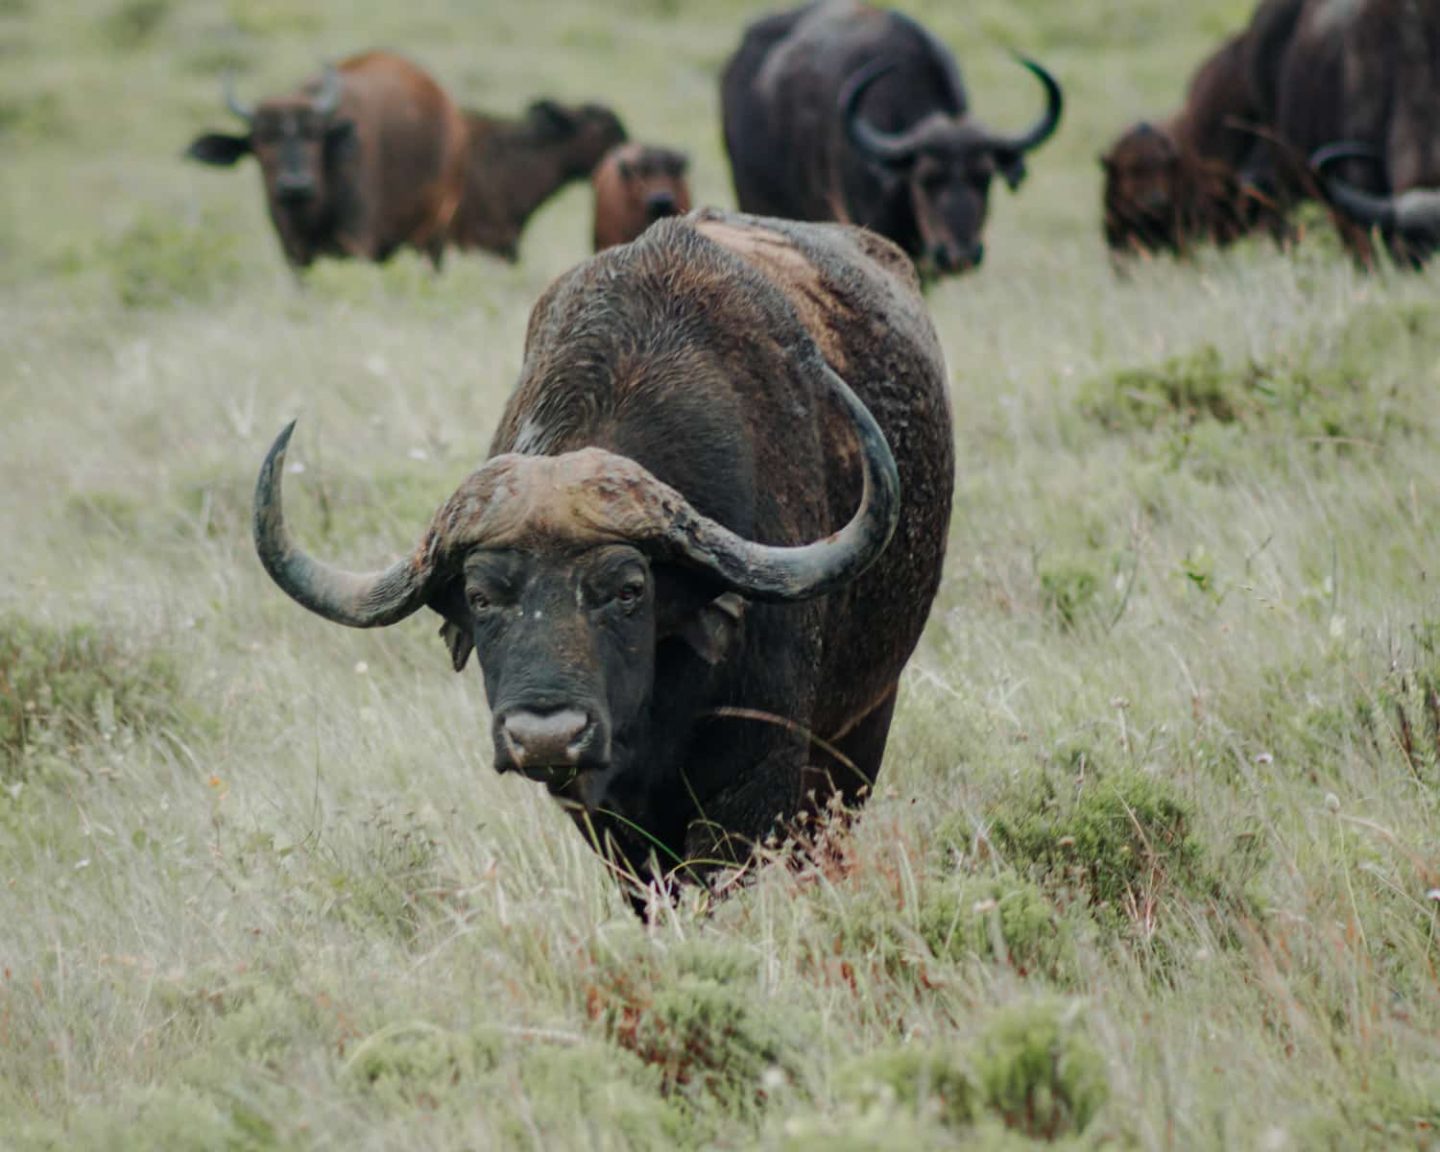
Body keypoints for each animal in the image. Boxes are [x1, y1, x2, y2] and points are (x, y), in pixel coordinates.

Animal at [182, 51, 469, 267]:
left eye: (314, 136)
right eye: (263, 139)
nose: (295, 185)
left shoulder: (357, 241)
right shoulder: (293, 252)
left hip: (434, 233)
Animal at [252, 211, 956, 904]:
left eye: (628, 590)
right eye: (481, 597)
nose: (546, 736)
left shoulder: (760, 776)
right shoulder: (607, 815)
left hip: (864, 726)